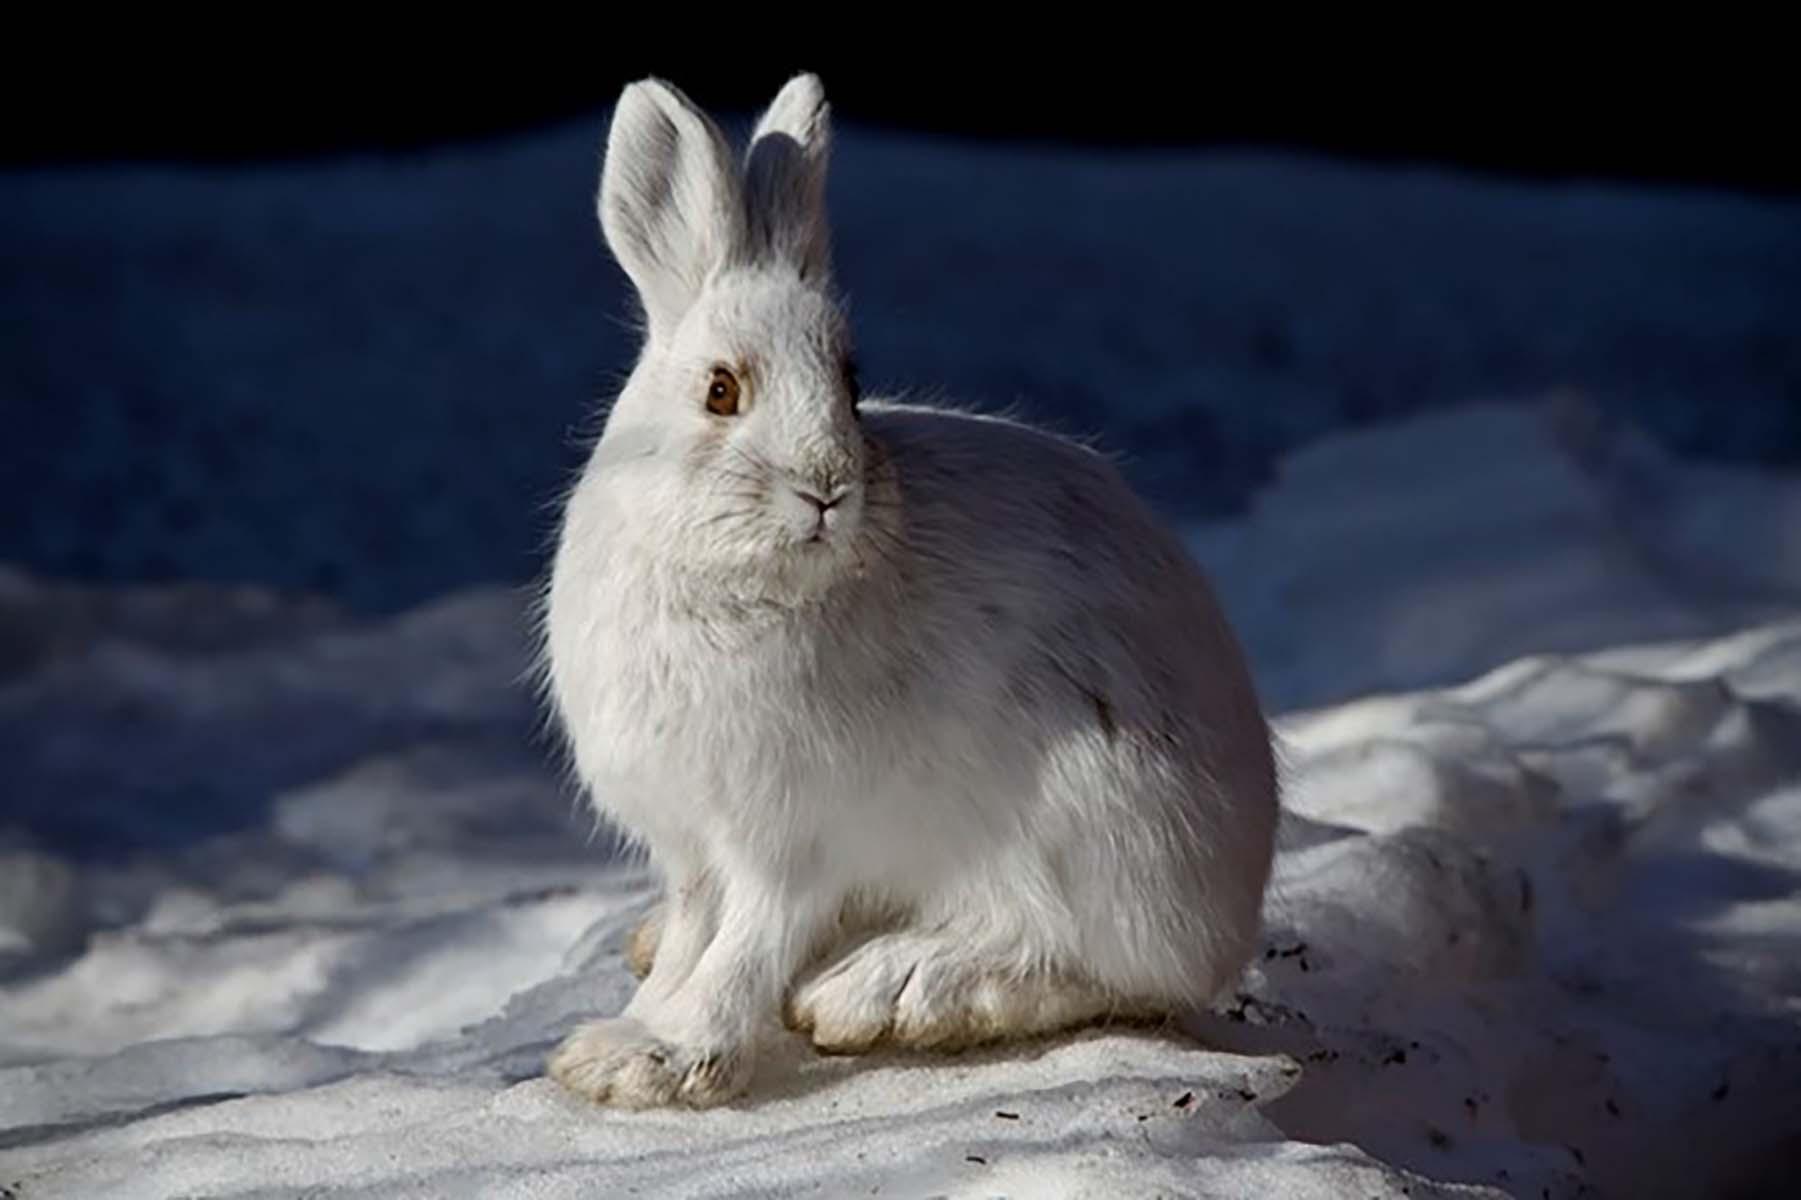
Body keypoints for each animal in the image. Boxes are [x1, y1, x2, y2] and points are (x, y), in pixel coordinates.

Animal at [542, 72, 1279, 1110]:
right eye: (721, 391)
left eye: (851, 386)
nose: (827, 487)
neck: (746, 583)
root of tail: (1232, 897)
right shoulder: (692, 845)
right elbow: (694, 932)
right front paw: (623, 1036)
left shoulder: (790, 840)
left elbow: (745, 944)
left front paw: (664, 1057)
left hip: (1090, 816)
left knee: (1092, 962)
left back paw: (893, 988)